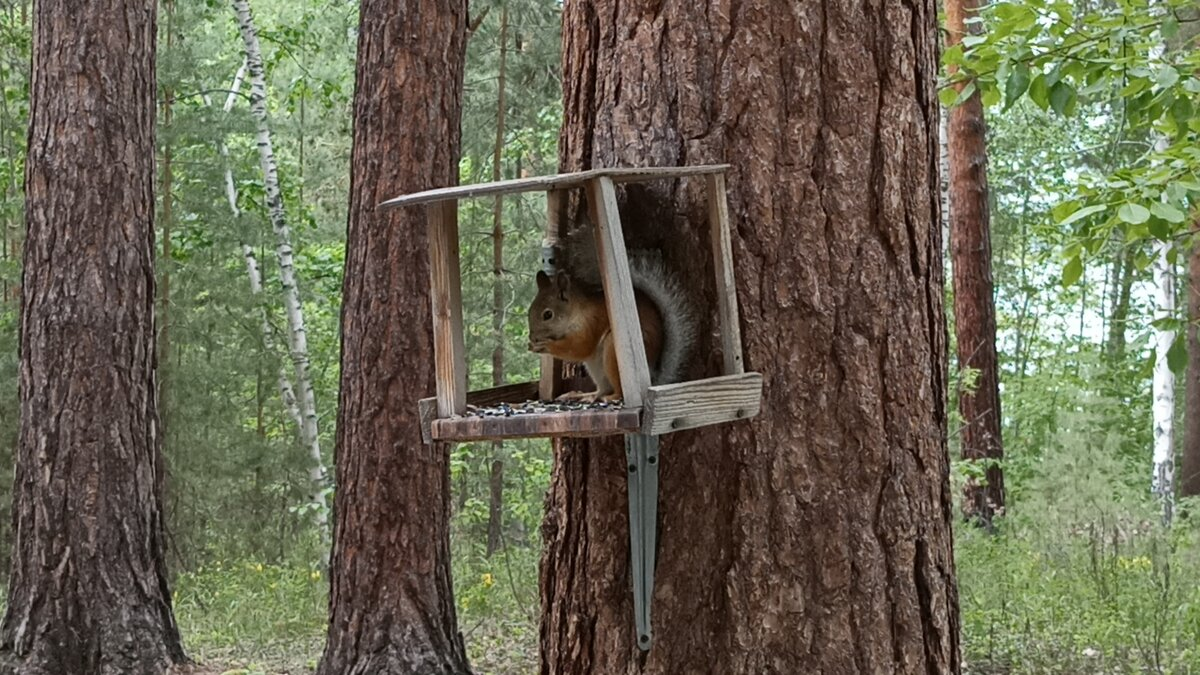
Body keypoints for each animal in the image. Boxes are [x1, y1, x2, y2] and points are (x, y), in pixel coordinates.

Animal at [525, 225, 696, 398]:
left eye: (548, 315)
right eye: (530, 310)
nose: (533, 337)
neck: (575, 314)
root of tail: (652, 377)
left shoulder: (590, 324)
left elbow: (580, 347)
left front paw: (545, 346)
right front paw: (532, 345)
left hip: (612, 351)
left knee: (617, 390)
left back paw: (612, 397)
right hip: (596, 368)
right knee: (602, 389)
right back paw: (583, 395)